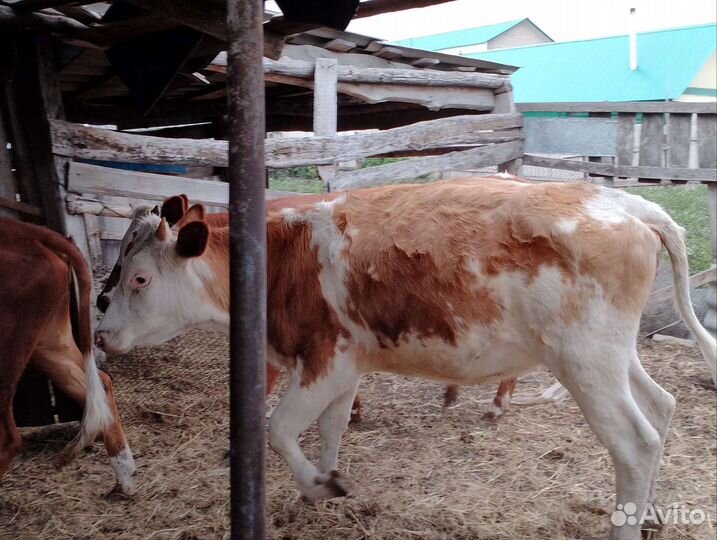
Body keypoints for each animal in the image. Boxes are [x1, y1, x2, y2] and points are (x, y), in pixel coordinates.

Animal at [94, 178, 716, 540]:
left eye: (140, 278)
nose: (100, 333)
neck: (279, 255)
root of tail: (627, 203)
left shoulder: (324, 357)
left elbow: (279, 429)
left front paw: (317, 485)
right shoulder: (345, 366)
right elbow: (330, 431)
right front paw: (321, 486)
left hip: (585, 362)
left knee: (636, 442)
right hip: (611, 356)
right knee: (661, 407)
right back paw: (652, 514)